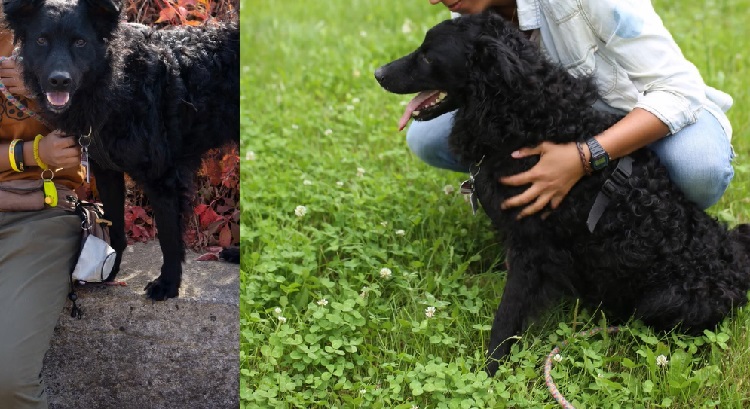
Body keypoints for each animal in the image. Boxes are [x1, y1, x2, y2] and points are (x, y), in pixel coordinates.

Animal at [4, 0, 239, 300]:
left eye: (80, 42)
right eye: (41, 40)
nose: (59, 81)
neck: (120, 81)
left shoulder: (164, 177)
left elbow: (169, 238)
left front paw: (168, 284)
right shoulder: (106, 172)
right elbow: (114, 225)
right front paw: (110, 269)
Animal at [378, 11, 750, 376]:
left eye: (428, 55)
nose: (378, 73)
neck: (528, 117)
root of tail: (736, 266)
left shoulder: (532, 247)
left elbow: (506, 316)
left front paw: (490, 370)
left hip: (664, 298)